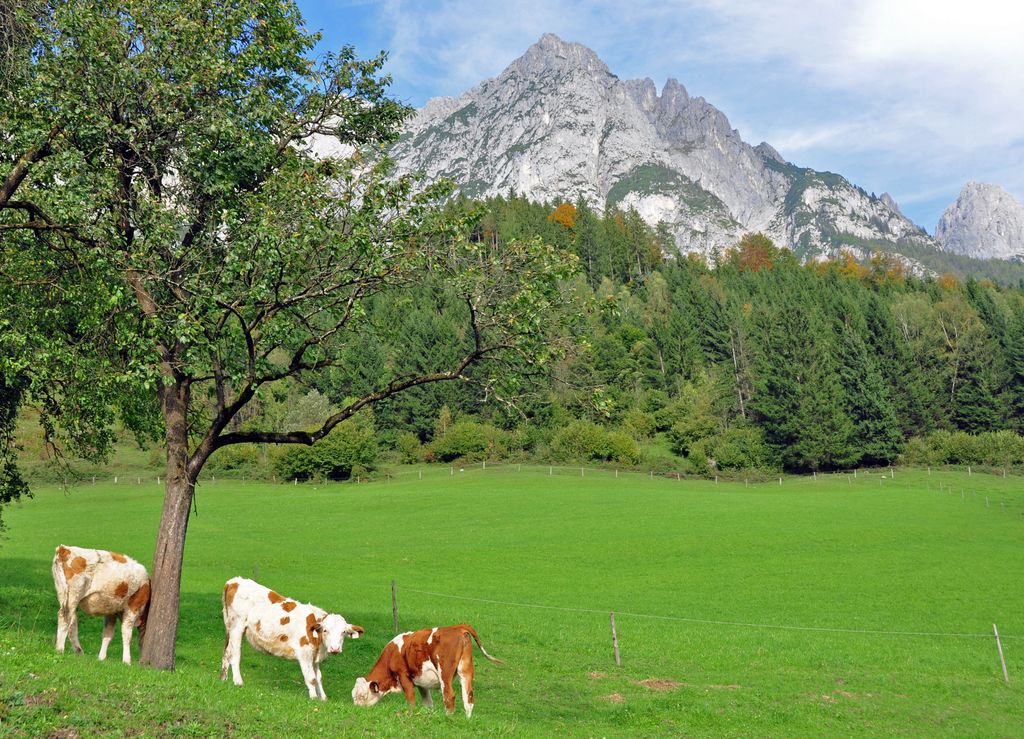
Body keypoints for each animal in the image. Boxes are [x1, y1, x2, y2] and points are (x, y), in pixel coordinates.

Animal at [218, 577, 366, 696]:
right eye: (325, 630)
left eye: (343, 632)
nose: (335, 648)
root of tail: (234, 581)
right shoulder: (305, 652)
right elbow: (311, 678)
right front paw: (313, 698)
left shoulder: (314, 656)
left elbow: (319, 677)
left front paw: (323, 698)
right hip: (237, 627)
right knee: (235, 655)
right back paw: (238, 682)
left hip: (230, 629)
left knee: (227, 653)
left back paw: (223, 679)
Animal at [350, 626, 501, 716]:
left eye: (362, 696)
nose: (356, 710)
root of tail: (457, 627)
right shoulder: (421, 682)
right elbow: (427, 703)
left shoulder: (404, 676)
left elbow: (411, 699)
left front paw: (410, 714)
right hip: (466, 672)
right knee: (468, 698)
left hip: (444, 674)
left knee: (449, 696)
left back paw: (448, 718)